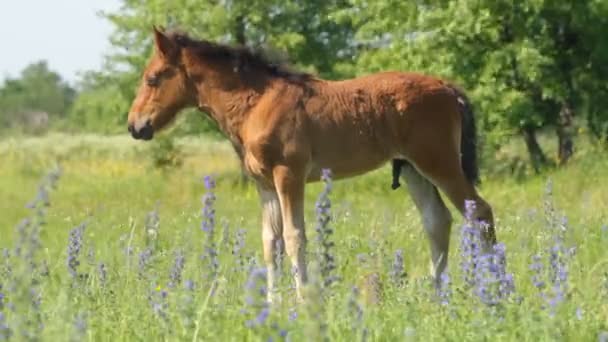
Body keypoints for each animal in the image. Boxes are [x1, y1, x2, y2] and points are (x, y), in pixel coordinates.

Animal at [127, 28, 494, 302]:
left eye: (153, 78)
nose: (135, 126)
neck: (257, 103)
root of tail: (449, 88)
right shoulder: (263, 184)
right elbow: (270, 242)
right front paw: (272, 303)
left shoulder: (288, 175)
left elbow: (294, 236)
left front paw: (303, 300)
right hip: (413, 169)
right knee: (437, 220)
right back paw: (436, 294)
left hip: (439, 162)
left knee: (480, 213)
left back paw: (493, 289)